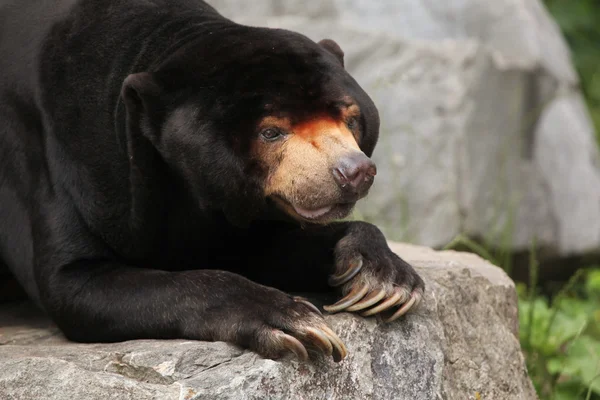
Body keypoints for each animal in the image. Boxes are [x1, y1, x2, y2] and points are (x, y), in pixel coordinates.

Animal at [0, 0, 424, 362]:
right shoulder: (66, 164)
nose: (354, 171)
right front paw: (292, 320)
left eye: (350, 117)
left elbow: (257, 248)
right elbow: (74, 282)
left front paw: (380, 278)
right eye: (270, 132)